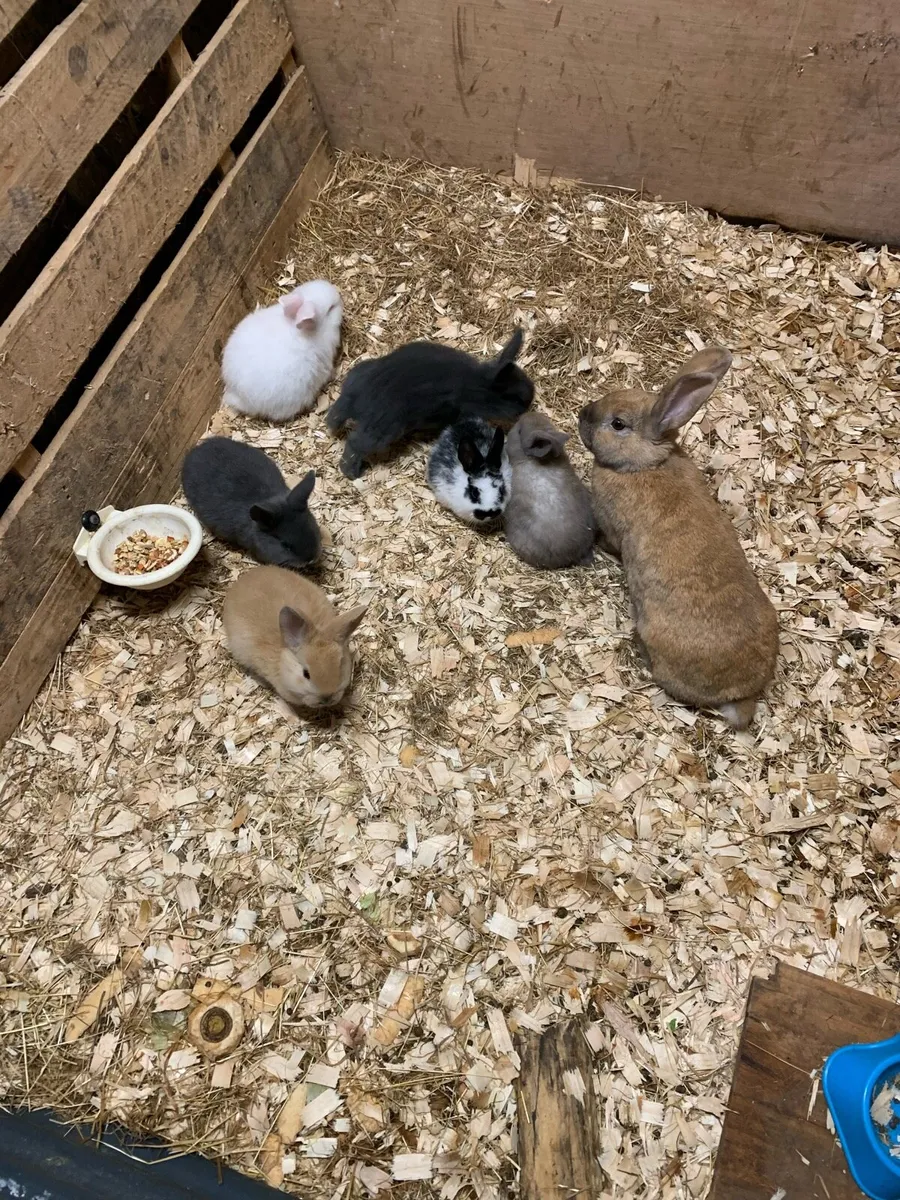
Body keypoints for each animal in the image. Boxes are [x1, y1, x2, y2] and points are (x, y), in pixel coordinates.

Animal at [326, 327, 534, 479]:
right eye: (514, 398)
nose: (529, 402)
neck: (478, 386)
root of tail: (361, 402)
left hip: (357, 378)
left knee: (338, 411)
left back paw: (331, 426)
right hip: (384, 430)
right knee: (355, 443)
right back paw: (352, 473)